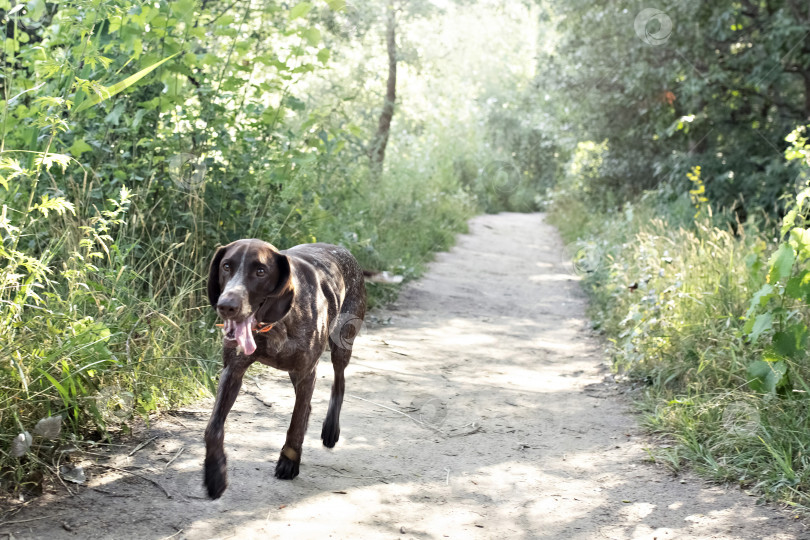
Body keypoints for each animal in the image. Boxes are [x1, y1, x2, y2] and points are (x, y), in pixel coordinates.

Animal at [202, 238, 366, 500]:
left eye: (261, 271)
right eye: (226, 266)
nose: (226, 306)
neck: (274, 323)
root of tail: (344, 250)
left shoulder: (307, 372)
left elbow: (295, 424)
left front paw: (289, 460)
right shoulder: (232, 372)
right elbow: (213, 428)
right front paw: (215, 473)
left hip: (342, 342)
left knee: (338, 382)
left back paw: (331, 428)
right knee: (308, 404)